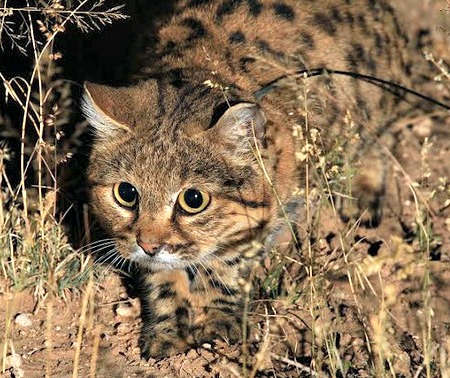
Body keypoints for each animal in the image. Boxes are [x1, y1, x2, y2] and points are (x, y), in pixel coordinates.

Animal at [82, 0, 424, 360]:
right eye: (126, 193)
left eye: (193, 200)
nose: (149, 245)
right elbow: (161, 277)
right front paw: (168, 333)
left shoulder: (277, 211)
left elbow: (229, 265)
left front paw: (218, 323)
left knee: (377, 141)